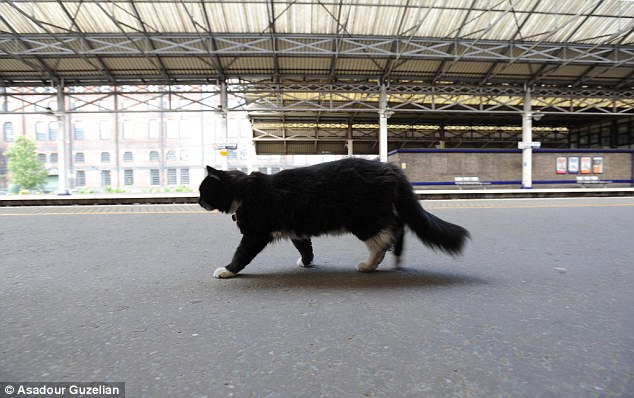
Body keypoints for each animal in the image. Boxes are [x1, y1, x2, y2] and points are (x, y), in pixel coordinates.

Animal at [198, 157, 470, 278]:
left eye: (203, 191)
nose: (198, 200)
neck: (243, 190)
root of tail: (388, 166)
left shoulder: (255, 233)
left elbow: (241, 254)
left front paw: (227, 270)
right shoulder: (297, 229)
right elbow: (306, 248)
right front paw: (306, 263)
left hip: (364, 219)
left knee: (386, 237)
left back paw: (369, 264)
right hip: (376, 213)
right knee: (399, 227)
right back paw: (396, 259)